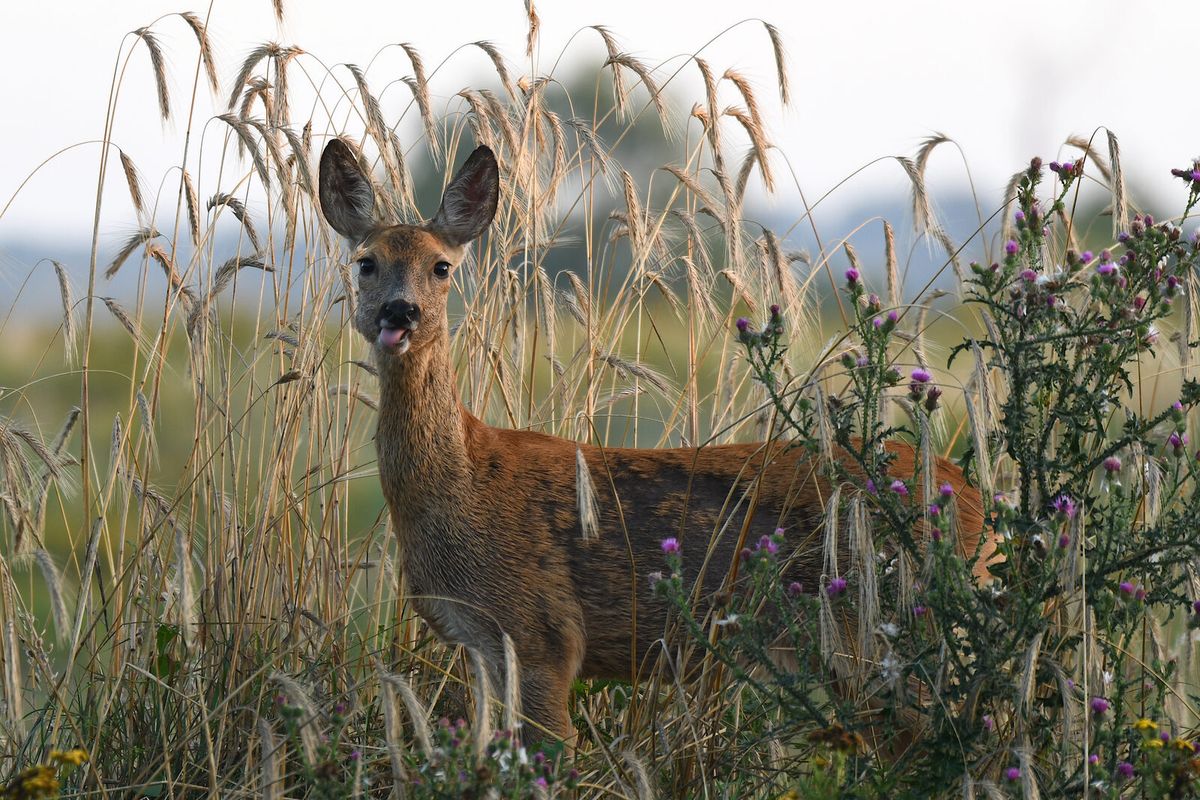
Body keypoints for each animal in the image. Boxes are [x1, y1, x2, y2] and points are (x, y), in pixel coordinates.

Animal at [317, 138, 990, 750]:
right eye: (366, 262)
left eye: (441, 266)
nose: (399, 312)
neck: (461, 484)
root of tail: (976, 497)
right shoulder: (481, 647)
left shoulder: (542, 635)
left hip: (889, 631)